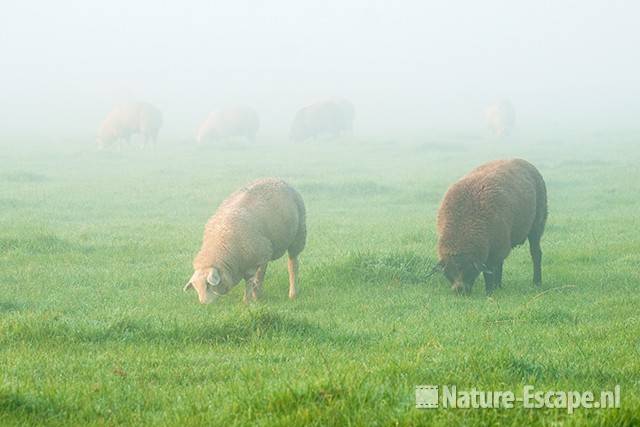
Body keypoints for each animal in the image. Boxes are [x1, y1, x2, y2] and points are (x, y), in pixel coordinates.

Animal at [438, 159, 548, 296]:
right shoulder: (495, 244)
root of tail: (522, 160)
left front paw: (489, 291)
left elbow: (488, 271)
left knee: (536, 253)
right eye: (447, 271)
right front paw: (494, 287)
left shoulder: (494, 247)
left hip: (537, 224)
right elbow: (493, 267)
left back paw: (537, 282)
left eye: (468, 269)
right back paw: (499, 285)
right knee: (500, 263)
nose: (459, 291)